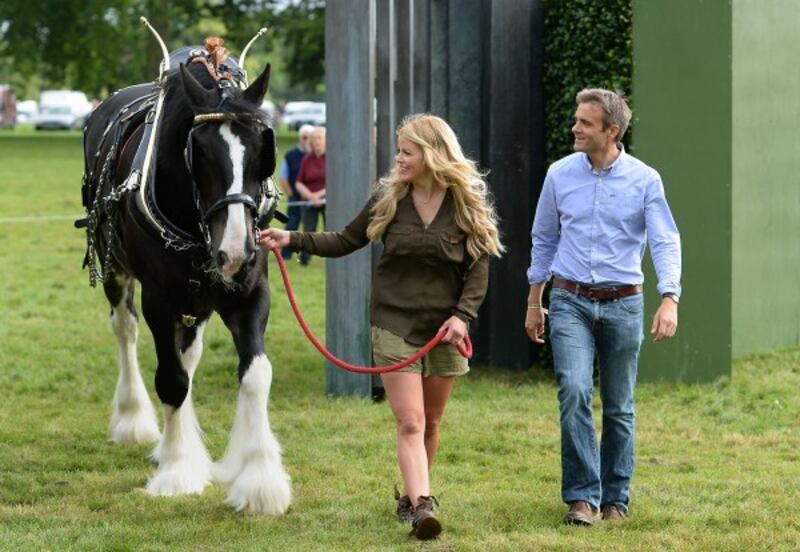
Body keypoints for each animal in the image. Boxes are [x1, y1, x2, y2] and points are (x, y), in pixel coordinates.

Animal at [80, 54, 290, 516]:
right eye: (200, 153)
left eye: (262, 152)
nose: (235, 251)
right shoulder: (160, 300)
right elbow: (171, 380)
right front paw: (177, 472)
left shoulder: (249, 293)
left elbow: (256, 374)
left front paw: (260, 481)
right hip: (116, 267)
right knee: (126, 329)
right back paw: (135, 420)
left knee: (188, 350)